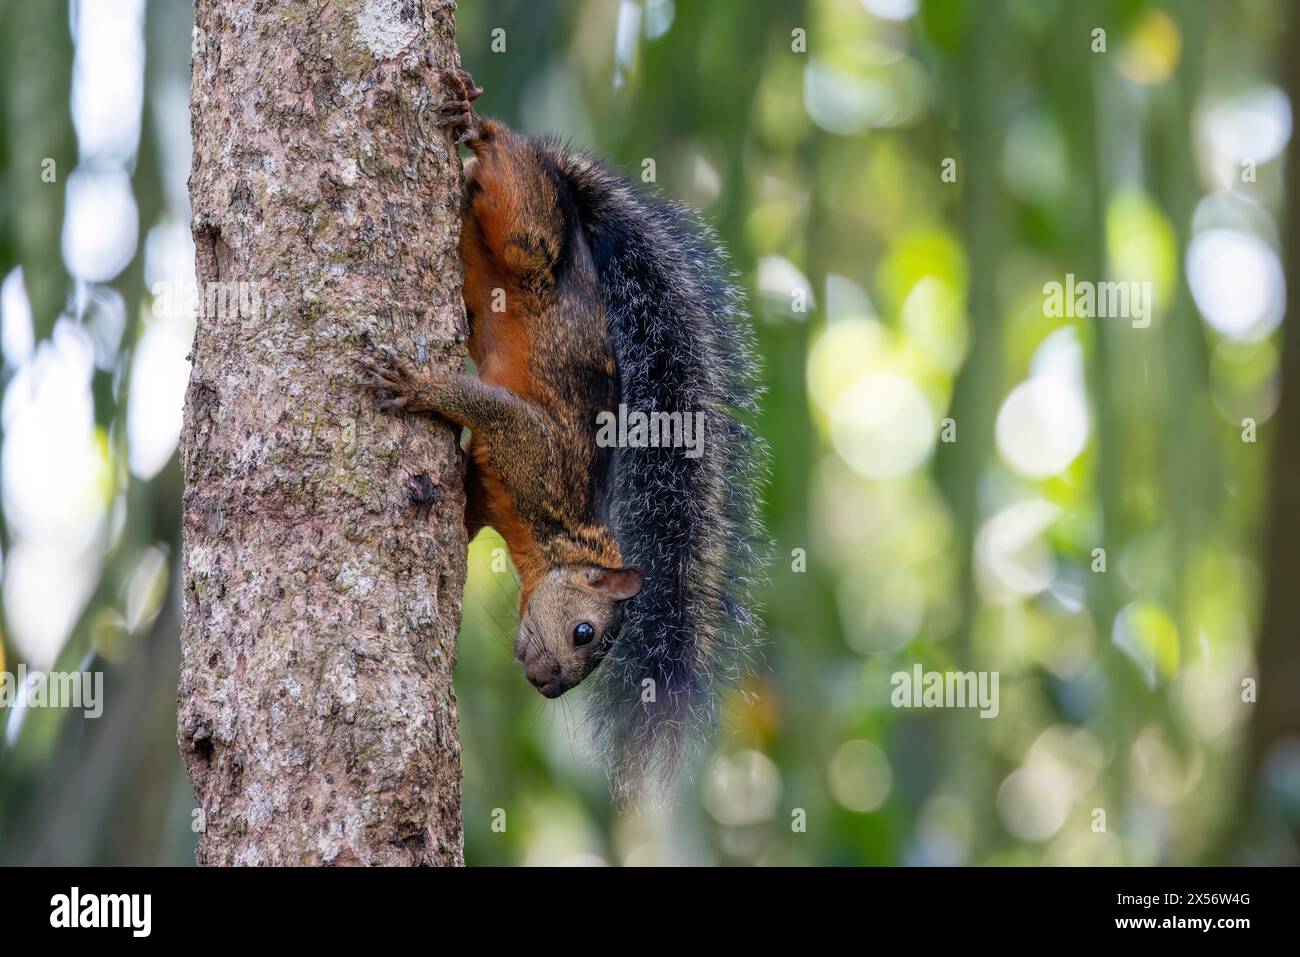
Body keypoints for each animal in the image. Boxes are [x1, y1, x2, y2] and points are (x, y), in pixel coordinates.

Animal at [358, 69, 759, 800]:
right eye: (583, 631)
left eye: (592, 653)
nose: (549, 686)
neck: (561, 536)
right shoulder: (530, 445)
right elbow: (487, 407)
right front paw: (419, 385)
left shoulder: (487, 493)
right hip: (532, 234)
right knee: (512, 170)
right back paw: (479, 123)